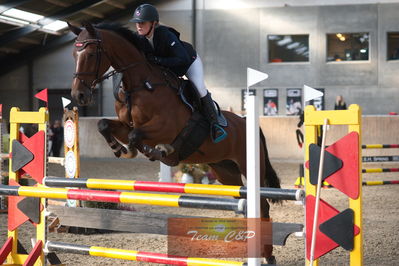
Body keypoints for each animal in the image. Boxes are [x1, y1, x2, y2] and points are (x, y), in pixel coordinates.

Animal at [68, 21, 282, 262]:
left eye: (91, 53)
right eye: (74, 54)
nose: (78, 95)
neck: (140, 84)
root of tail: (246, 122)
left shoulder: (166, 127)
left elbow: (136, 137)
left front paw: (157, 152)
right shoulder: (125, 125)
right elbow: (104, 125)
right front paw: (120, 149)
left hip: (249, 165)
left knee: (263, 205)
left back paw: (268, 256)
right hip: (226, 171)